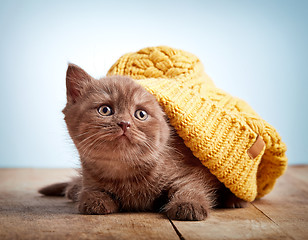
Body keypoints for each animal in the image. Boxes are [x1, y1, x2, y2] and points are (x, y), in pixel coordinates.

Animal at [38, 63, 247, 221]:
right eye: (105, 110)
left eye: (141, 114)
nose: (124, 123)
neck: (125, 173)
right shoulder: (90, 175)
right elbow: (91, 190)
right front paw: (93, 199)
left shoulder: (193, 170)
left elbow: (192, 186)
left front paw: (188, 204)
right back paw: (73, 188)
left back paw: (234, 199)